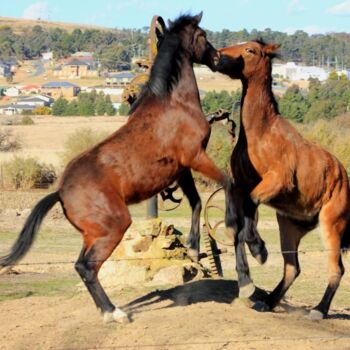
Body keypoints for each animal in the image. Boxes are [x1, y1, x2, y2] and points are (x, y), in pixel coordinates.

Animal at [0, 13, 243, 324]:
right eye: (202, 35)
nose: (217, 58)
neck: (173, 103)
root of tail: (60, 192)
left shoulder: (182, 169)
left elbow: (197, 201)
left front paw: (192, 245)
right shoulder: (196, 157)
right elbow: (226, 182)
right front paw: (228, 227)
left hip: (93, 234)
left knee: (82, 265)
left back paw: (110, 311)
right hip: (114, 227)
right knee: (87, 267)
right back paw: (114, 312)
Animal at [216, 39, 350, 318]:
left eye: (249, 50)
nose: (217, 56)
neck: (262, 135)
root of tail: (343, 176)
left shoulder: (277, 181)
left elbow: (250, 210)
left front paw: (259, 249)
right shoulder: (238, 186)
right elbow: (235, 227)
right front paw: (246, 284)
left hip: (331, 225)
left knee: (336, 269)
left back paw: (319, 310)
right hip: (288, 225)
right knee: (292, 268)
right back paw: (267, 302)